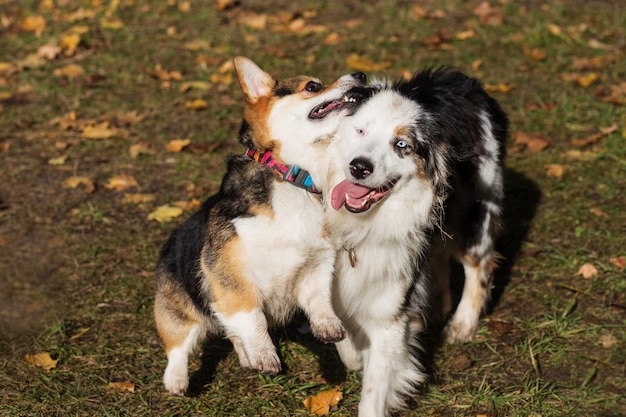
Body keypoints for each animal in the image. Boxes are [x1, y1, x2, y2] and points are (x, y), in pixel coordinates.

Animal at [152, 57, 366, 394]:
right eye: (312, 86)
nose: (360, 74)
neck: (293, 178)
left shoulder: (315, 266)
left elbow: (320, 302)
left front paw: (330, 329)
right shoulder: (231, 277)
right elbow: (253, 318)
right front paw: (265, 355)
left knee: (232, 333)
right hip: (178, 309)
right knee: (179, 344)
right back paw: (177, 380)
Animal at [326, 67, 508, 412]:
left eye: (402, 144)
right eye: (360, 130)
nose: (360, 167)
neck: (360, 224)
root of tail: (462, 80)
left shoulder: (391, 314)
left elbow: (374, 392)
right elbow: (342, 340)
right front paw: (354, 354)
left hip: (474, 212)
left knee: (478, 266)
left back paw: (461, 323)